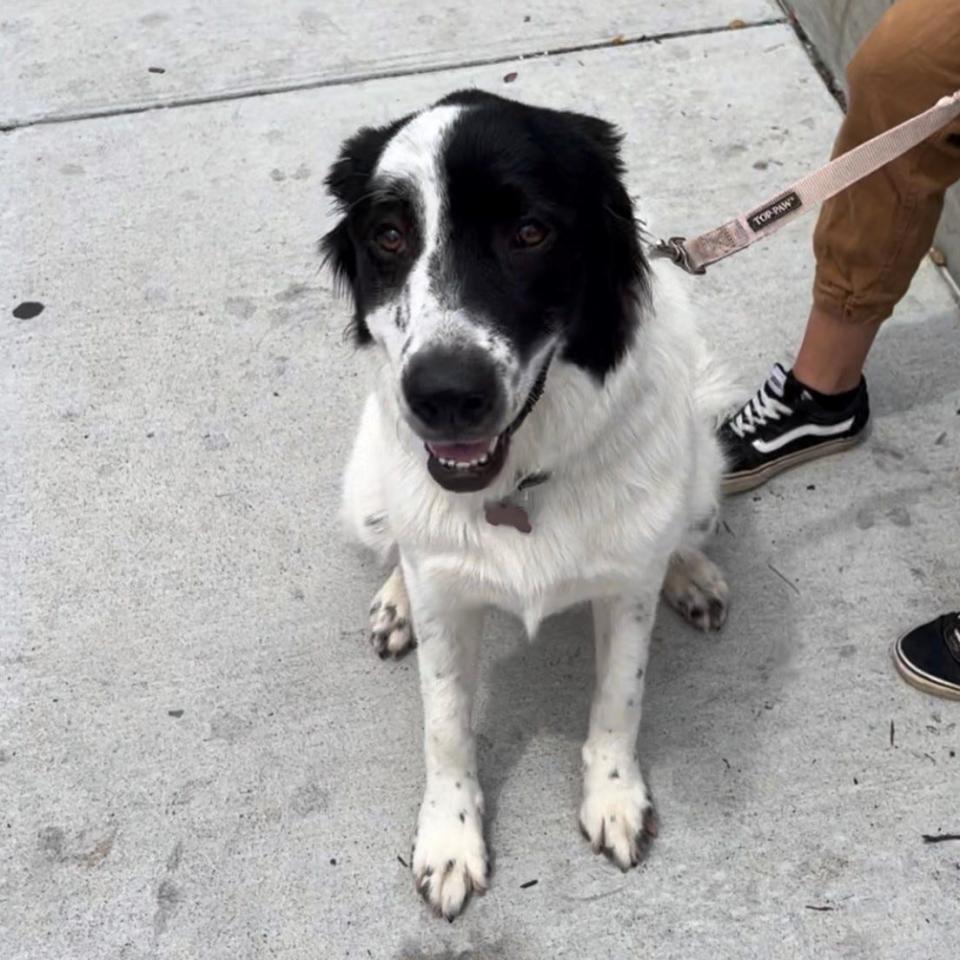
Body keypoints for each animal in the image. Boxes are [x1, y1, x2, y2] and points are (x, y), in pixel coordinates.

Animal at [322, 92, 736, 924]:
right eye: (389, 234)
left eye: (531, 232)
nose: (445, 396)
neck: (517, 484)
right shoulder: (447, 598)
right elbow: (446, 725)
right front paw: (449, 838)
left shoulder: (626, 589)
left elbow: (620, 699)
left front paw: (614, 797)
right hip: (365, 493)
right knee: (397, 548)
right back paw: (395, 601)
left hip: (704, 471)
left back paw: (691, 572)